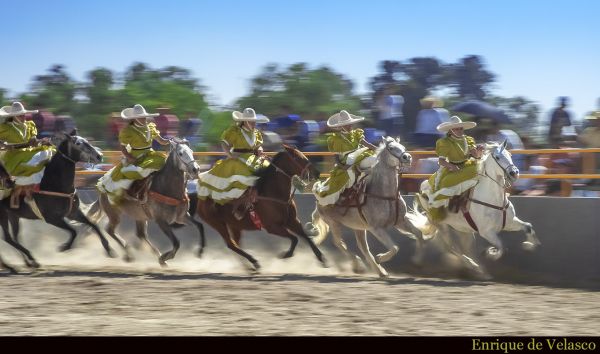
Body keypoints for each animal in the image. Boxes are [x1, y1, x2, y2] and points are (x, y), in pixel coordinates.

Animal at [0, 130, 111, 268]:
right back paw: (23, 262)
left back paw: (29, 262)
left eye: (87, 140)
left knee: (14, 238)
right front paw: (64, 247)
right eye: (78, 143)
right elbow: (73, 231)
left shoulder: (73, 213)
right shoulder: (52, 218)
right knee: (8, 238)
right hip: (3, 215)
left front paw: (108, 248)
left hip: (13, 215)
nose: (99, 156)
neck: (53, 184)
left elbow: (93, 224)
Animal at [191, 144, 324, 272]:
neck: (274, 194)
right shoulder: (272, 227)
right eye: (297, 158)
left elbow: (306, 237)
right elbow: (295, 239)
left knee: (236, 244)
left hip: (235, 225)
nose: (317, 172)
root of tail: (200, 197)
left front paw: (321, 258)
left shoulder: (292, 221)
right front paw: (285, 254)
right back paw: (254, 262)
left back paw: (248, 266)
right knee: (231, 244)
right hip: (218, 224)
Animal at [310, 137, 432, 278]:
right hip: (334, 223)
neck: (385, 195)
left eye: (403, 147)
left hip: (358, 227)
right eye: (391, 148)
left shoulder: (400, 221)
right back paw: (359, 265)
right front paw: (380, 258)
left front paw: (417, 262)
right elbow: (394, 248)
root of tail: (318, 197)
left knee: (363, 247)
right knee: (339, 243)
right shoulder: (376, 228)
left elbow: (419, 235)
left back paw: (379, 271)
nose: (407, 157)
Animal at [412, 140, 540, 276]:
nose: (514, 173)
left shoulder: (510, 223)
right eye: (497, 157)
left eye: (510, 154)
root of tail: (423, 192)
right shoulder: (487, 232)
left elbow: (528, 226)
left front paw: (529, 245)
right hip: (442, 226)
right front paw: (491, 253)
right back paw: (474, 267)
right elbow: (501, 247)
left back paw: (475, 269)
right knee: (452, 247)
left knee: (464, 248)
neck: (494, 200)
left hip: (463, 230)